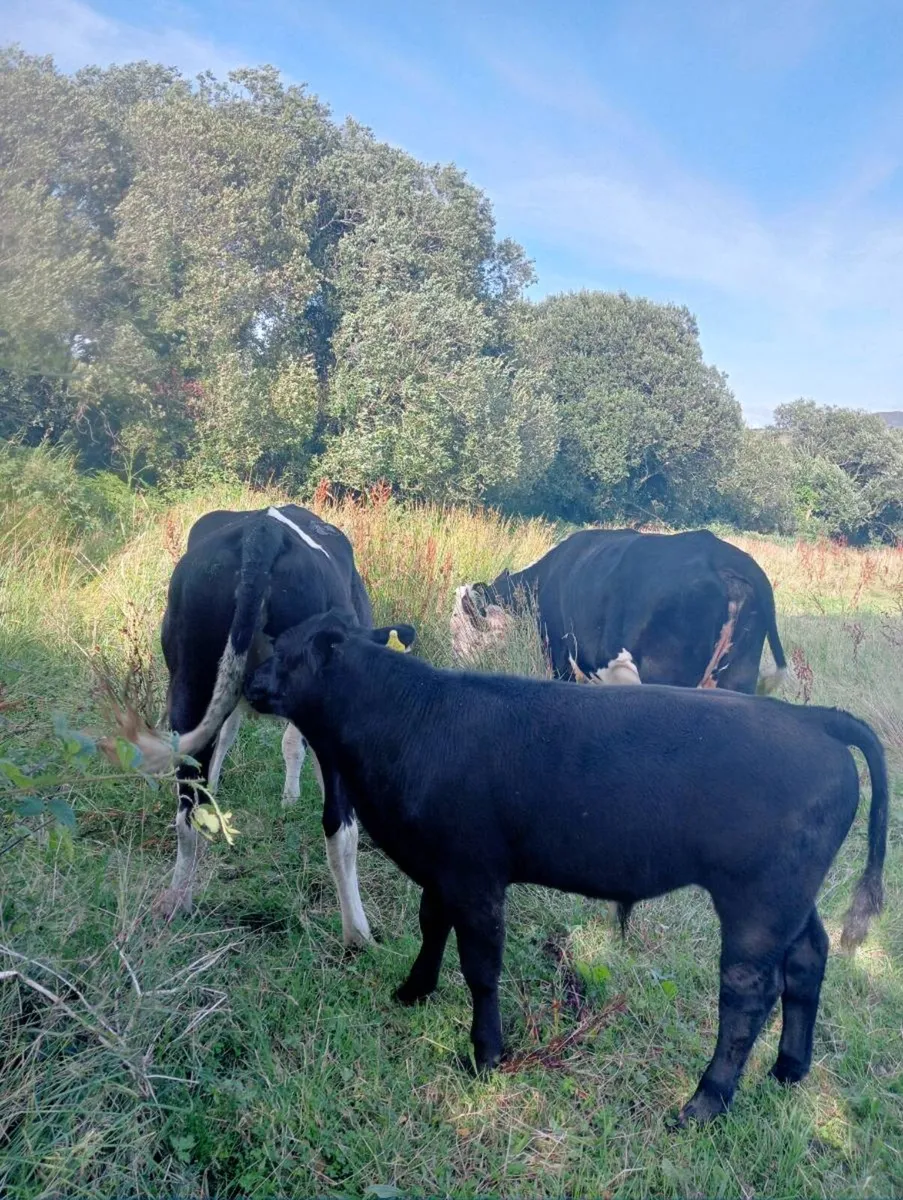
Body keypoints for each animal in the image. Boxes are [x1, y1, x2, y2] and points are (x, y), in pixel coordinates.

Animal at [132, 504, 413, 942]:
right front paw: (291, 797)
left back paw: (176, 901)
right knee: (340, 827)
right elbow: (292, 746)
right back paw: (358, 934)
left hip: (189, 683)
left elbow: (226, 738)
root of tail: (262, 532)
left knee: (187, 812)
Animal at [246, 611, 887, 1124]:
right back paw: (789, 1069)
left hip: (758, 899)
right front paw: (413, 990)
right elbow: (432, 928)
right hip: (791, 897)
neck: (410, 719)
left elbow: (481, 966)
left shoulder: (475, 875)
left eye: (288, 652)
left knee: (749, 993)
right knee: (808, 958)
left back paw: (705, 1102)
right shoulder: (440, 868)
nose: (251, 684)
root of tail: (812, 719)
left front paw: (486, 1054)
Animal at [452, 528, 788, 693]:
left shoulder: (560, 659)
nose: (454, 662)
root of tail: (721, 555)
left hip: (666, 674)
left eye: (458, 624)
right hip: (739, 674)